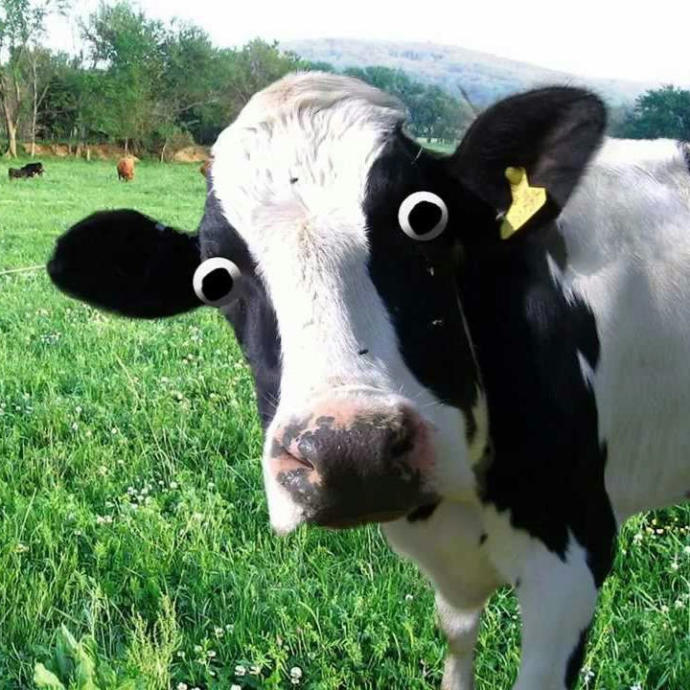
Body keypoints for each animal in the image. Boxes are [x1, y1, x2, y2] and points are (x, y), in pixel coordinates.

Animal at [47, 73, 690, 689]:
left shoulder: (572, 561)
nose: (350, 451)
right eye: (214, 280)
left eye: (426, 219)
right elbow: (457, 641)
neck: (458, 509)